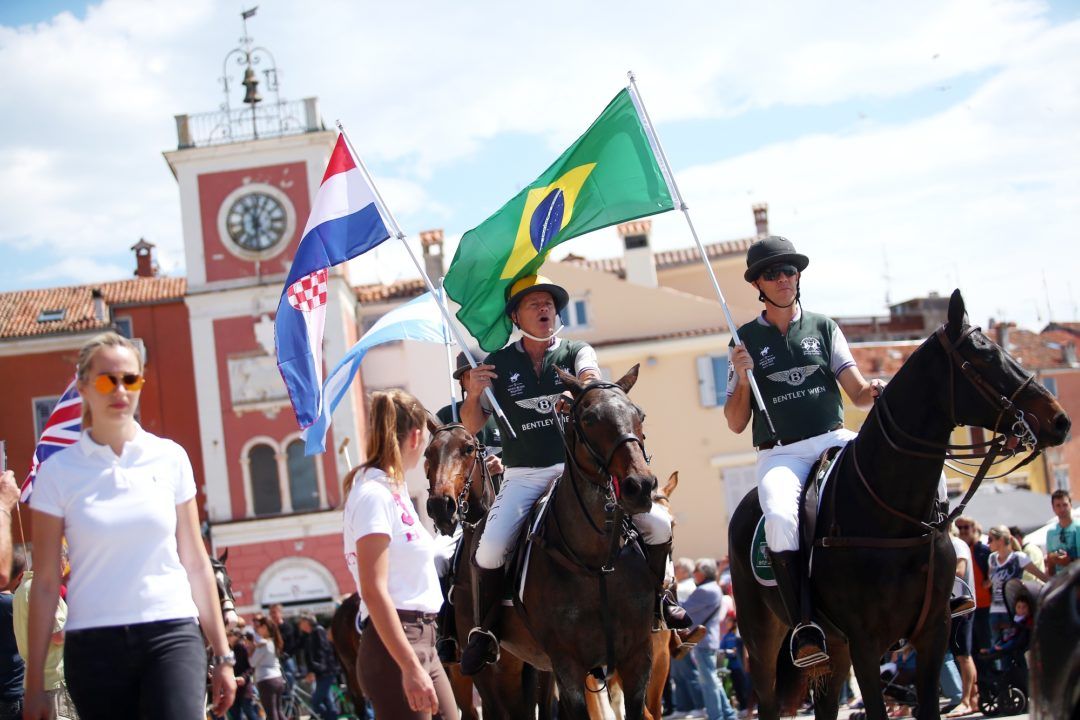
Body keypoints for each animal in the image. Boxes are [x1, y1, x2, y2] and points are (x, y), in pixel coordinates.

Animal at [725, 289, 1071, 720]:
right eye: (986, 357)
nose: (1059, 421)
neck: (893, 516)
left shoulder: (933, 633)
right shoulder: (865, 644)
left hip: (833, 648)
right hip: (763, 639)